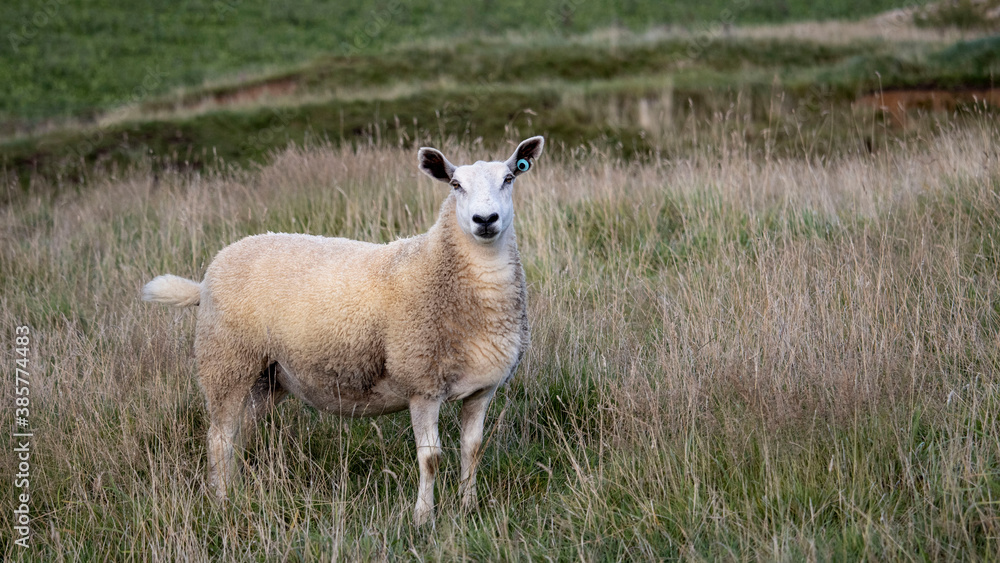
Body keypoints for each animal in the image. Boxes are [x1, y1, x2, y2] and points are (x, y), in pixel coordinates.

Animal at [142, 136, 544, 526]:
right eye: (456, 185)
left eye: (509, 178)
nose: (485, 219)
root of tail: (206, 278)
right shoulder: (422, 385)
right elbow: (431, 459)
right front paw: (422, 518)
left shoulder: (481, 389)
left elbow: (471, 450)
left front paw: (468, 508)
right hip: (226, 360)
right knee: (219, 437)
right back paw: (222, 501)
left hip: (266, 376)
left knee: (239, 433)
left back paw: (234, 491)